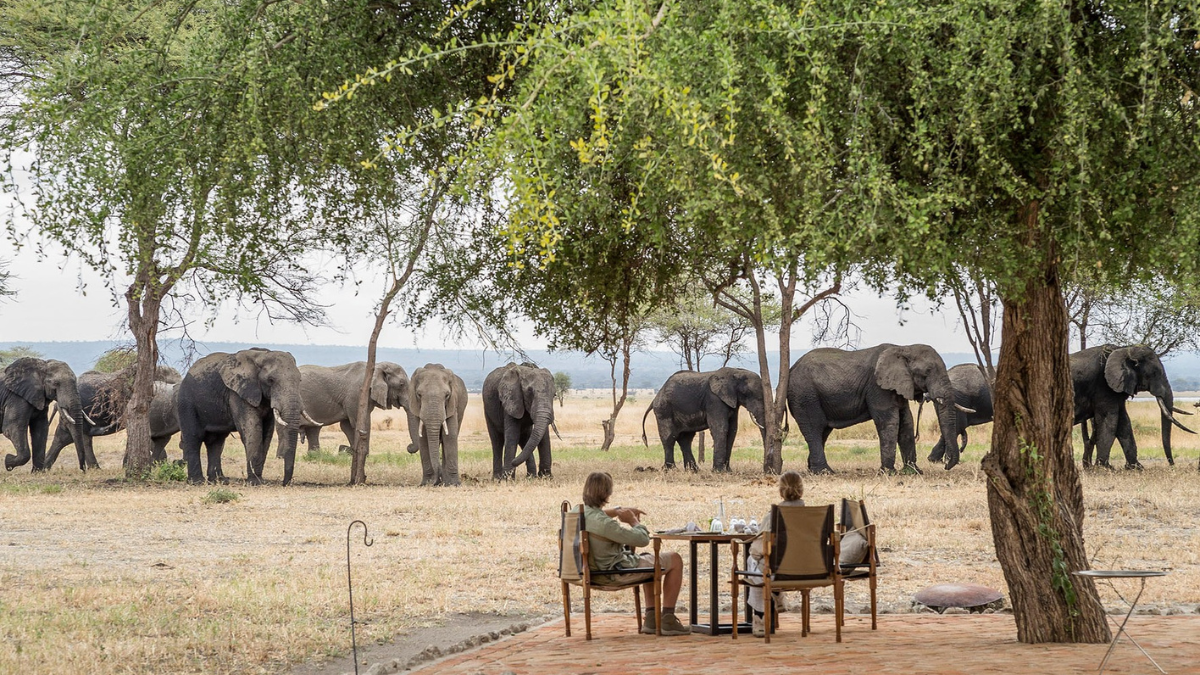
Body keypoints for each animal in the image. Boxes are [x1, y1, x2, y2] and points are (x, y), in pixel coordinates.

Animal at [176, 348, 307, 485]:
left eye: (299, 380)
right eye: (271, 380)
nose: (284, 483)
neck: (262, 355)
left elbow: (267, 433)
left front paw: (259, 479)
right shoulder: (238, 393)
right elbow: (253, 431)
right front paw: (255, 482)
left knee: (216, 441)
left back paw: (220, 481)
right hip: (186, 402)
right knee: (194, 437)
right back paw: (197, 482)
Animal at [787, 344, 972, 474]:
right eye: (927, 372)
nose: (946, 465)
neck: (903, 348)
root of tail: (790, 369)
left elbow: (906, 422)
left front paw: (914, 471)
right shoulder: (878, 388)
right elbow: (890, 422)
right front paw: (889, 472)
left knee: (823, 432)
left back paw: (814, 470)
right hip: (805, 396)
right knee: (814, 429)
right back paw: (824, 472)